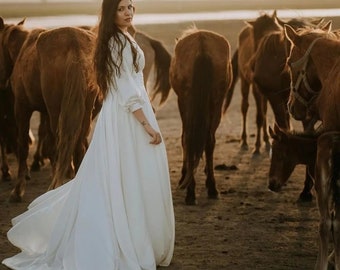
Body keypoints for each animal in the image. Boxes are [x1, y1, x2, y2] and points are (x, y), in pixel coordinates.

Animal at [0, 17, 98, 200]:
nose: (2, 79)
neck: (24, 48)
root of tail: (75, 45)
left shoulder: (22, 108)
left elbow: (23, 146)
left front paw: (18, 189)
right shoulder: (44, 111)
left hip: (56, 112)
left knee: (61, 144)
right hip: (84, 111)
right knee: (78, 145)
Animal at [171, 27, 232, 205]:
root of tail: (202, 45)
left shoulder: (182, 103)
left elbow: (184, 139)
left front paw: (184, 175)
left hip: (187, 101)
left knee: (189, 138)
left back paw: (191, 192)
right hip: (216, 102)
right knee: (209, 140)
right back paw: (212, 188)